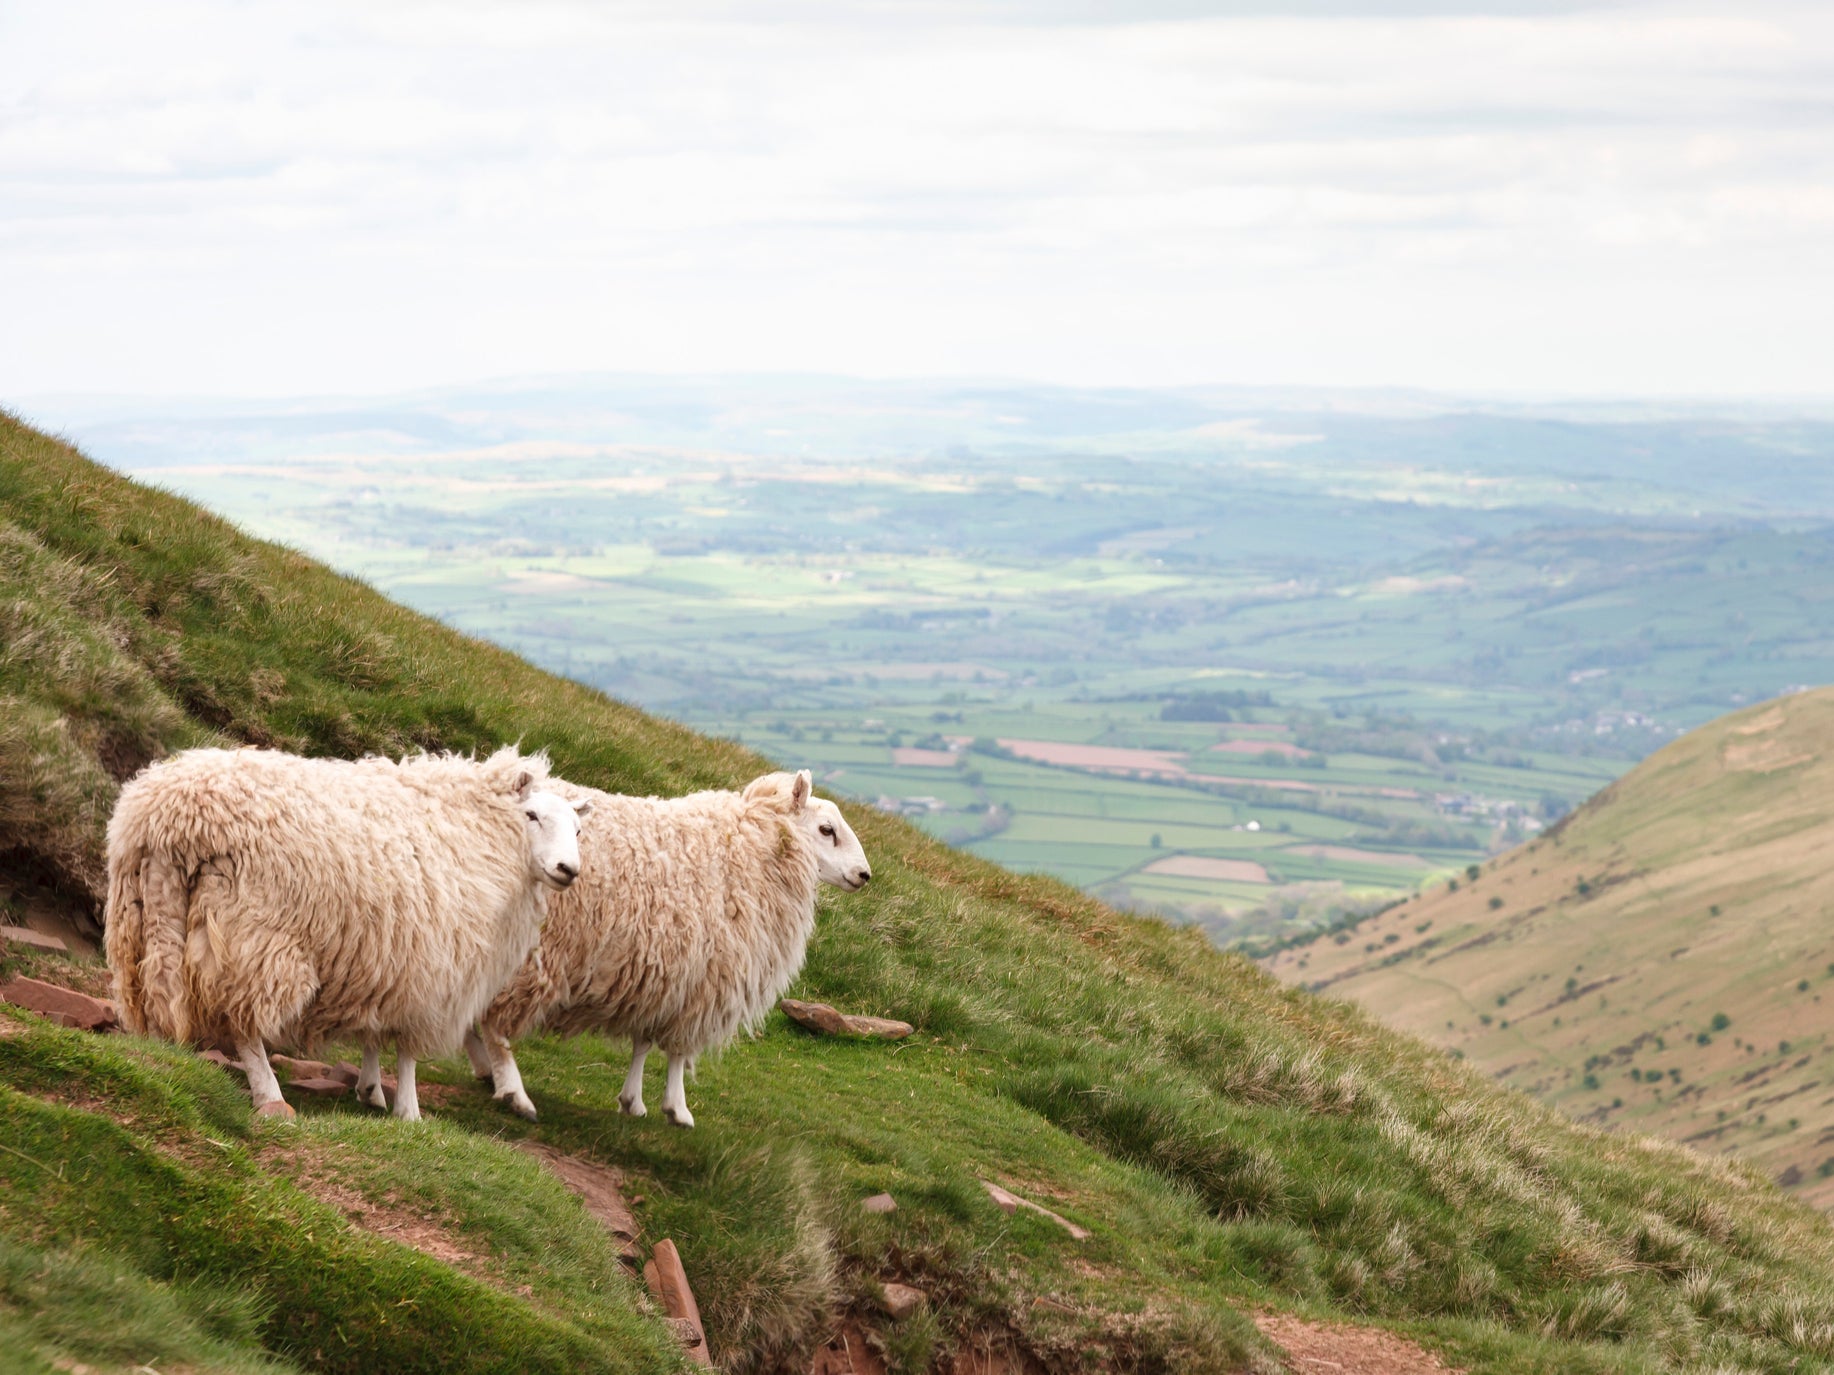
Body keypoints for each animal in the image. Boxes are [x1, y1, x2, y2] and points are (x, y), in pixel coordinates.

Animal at [105, 744, 586, 1122]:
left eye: (578, 829)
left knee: (161, 994)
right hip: (256, 934)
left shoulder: (384, 957)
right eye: (532, 815)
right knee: (244, 1024)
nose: (569, 869)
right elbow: (407, 1050)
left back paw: (164, 1056)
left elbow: (373, 1029)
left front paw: (371, 1090)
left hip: (145, 920)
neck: (480, 832)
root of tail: (172, 817)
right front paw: (409, 1111)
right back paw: (270, 1096)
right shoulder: (429, 969)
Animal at [469, 770, 876, 1122]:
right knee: (495, 1022)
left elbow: (644, 1041)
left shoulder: (661, 974)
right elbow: (678, 1051)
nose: (864, 874)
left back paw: (486, 1070)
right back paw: (512, 1089)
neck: (753, 849)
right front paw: (677, 1108)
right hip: (531, 949)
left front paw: (632, 1101)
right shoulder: (702, 981)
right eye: (827, 830)